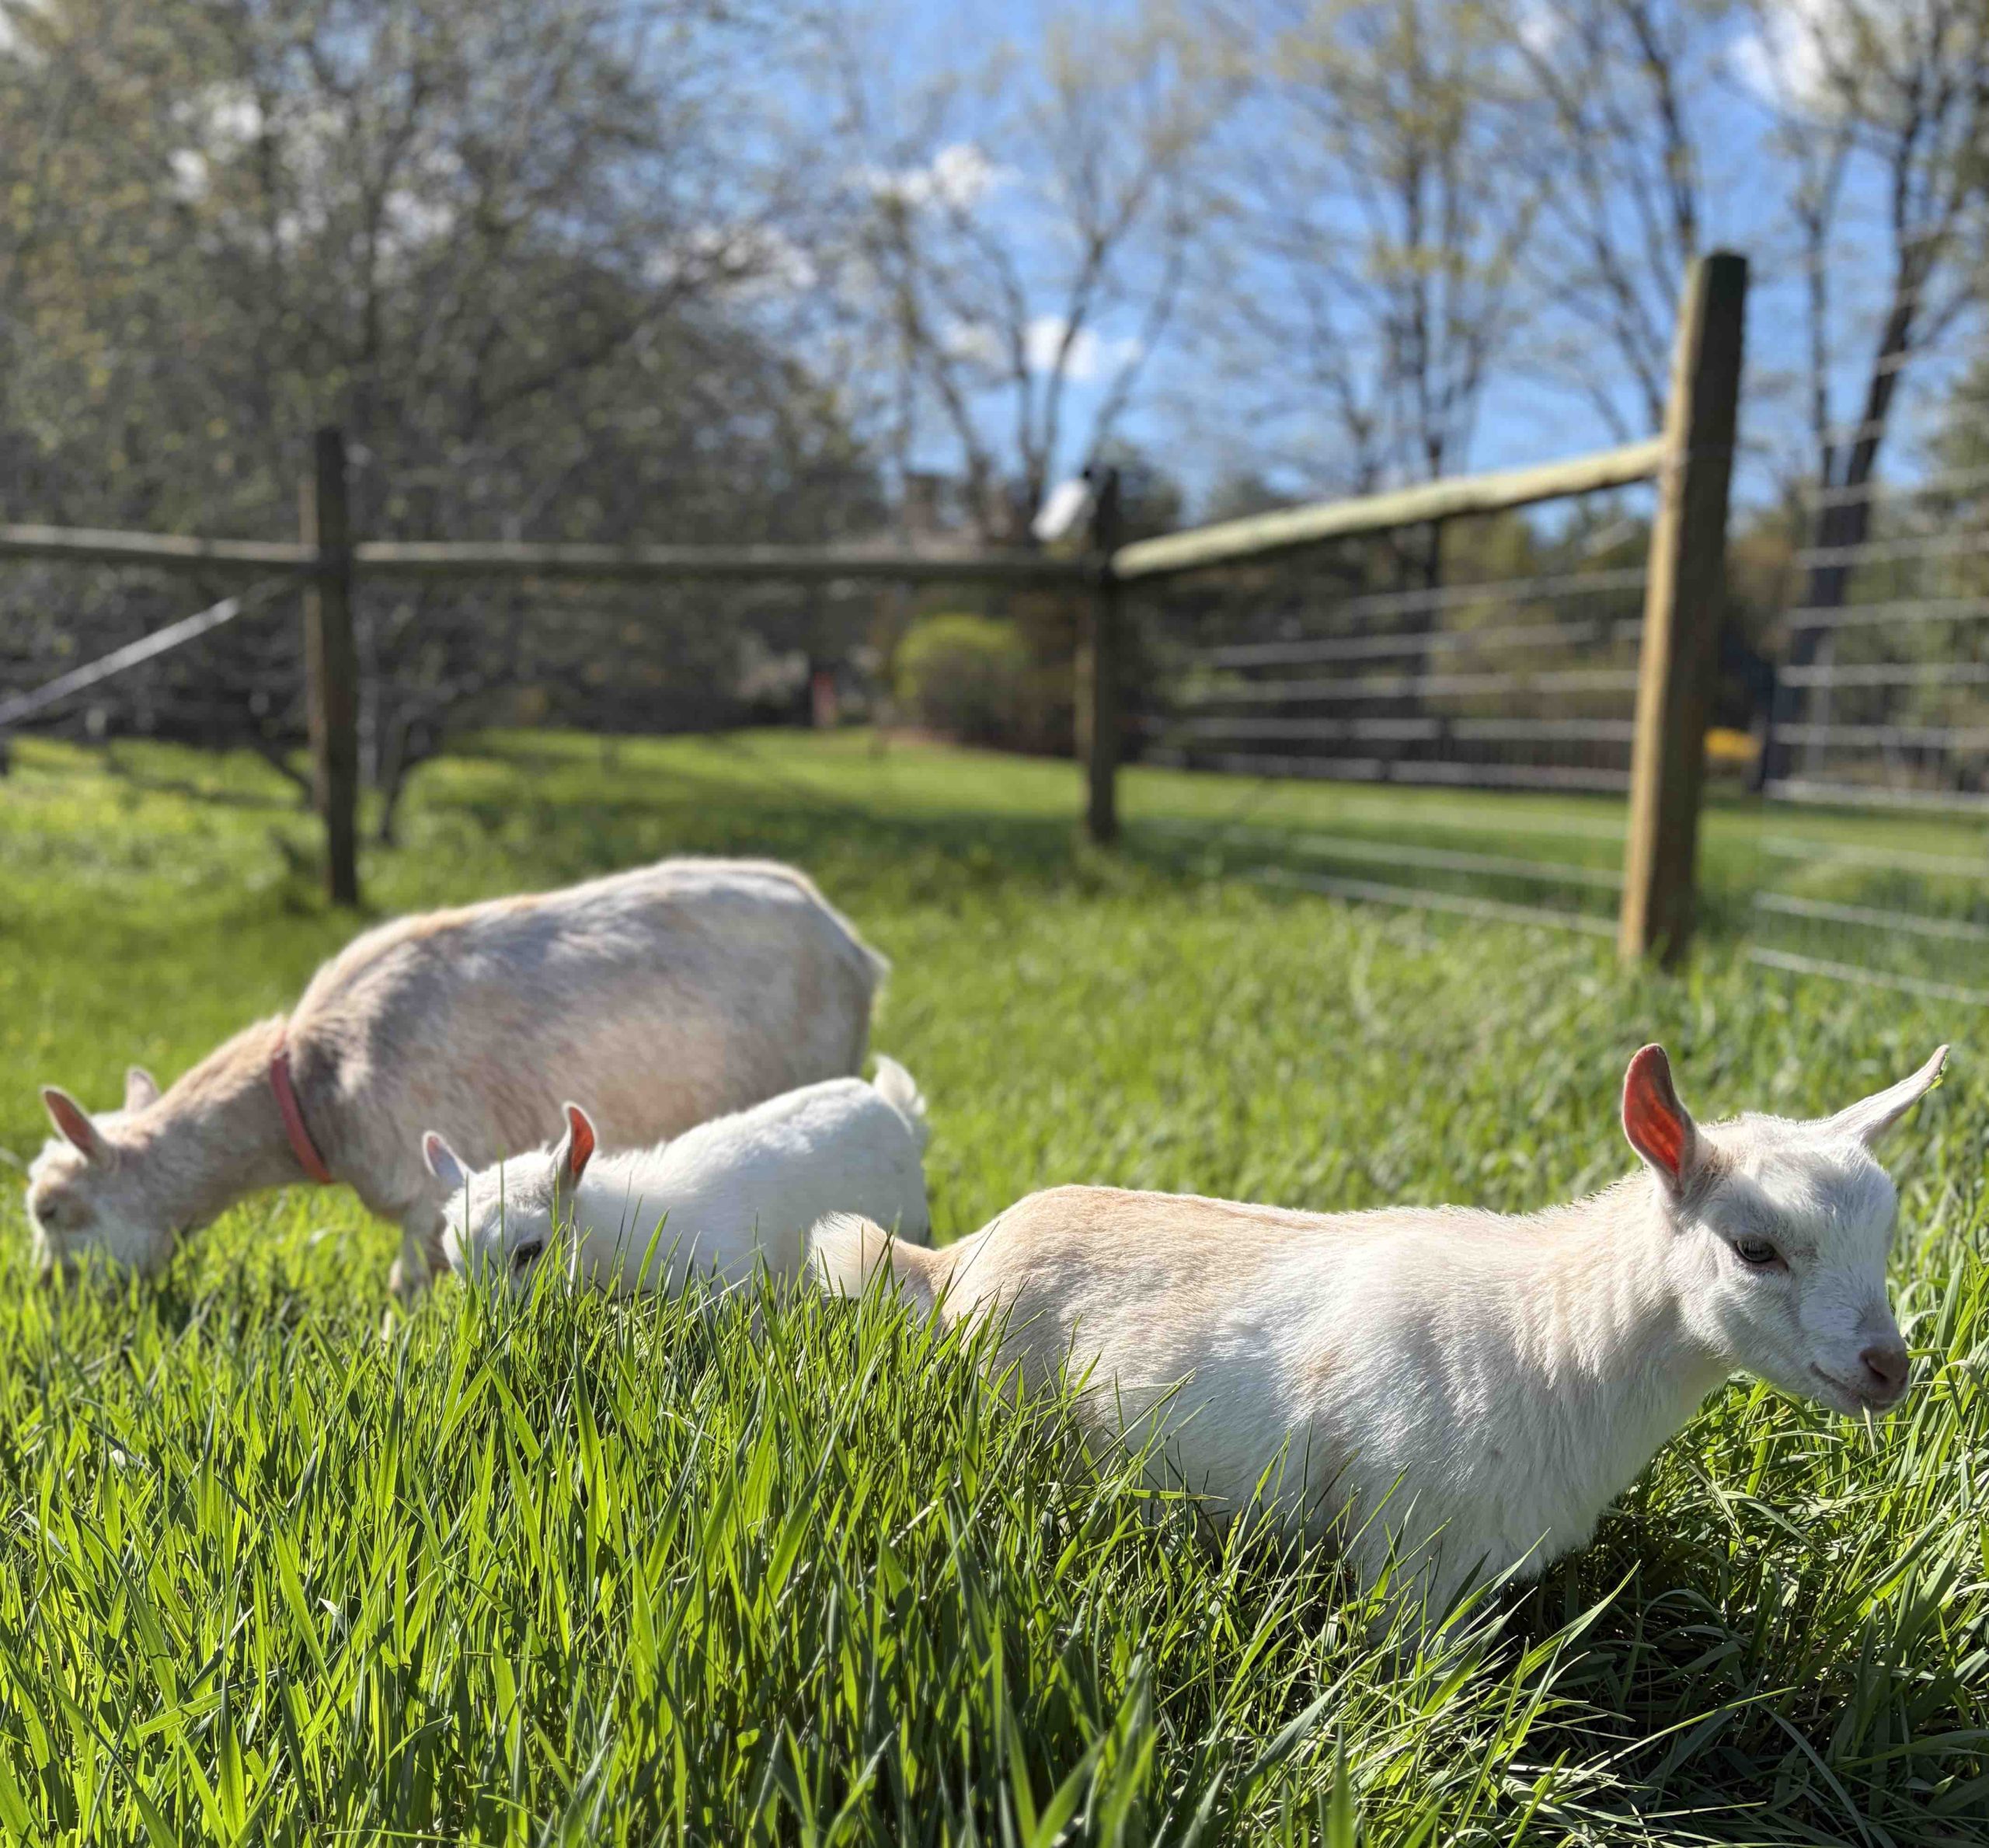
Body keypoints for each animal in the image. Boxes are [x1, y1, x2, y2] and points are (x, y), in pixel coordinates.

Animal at [812, 1044, 1947, 1617]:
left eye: (1887, 1232)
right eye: (1755, 1248)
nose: (1887, 1367)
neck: (1556, 1335)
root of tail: (956, 1257)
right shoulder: (1402, 1543)